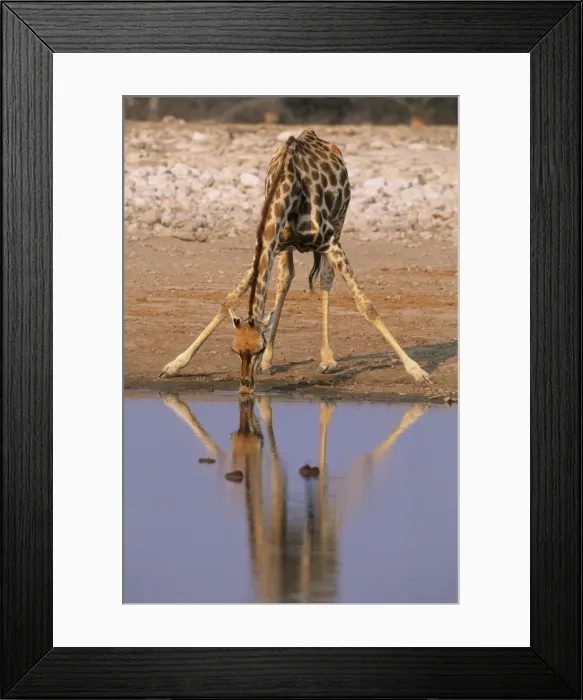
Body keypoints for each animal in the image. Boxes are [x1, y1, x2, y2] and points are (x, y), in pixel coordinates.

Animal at [159, 128, 431, 393]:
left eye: (257, 348)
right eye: (234, 349)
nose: (245, 387)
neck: (290, 188)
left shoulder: (329, 241)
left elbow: (367, 306)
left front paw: (417, 371)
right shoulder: (273, 242)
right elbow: (229, 300)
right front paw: (174, 364)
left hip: (340, 221)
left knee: (325, 278)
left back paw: (327, 359)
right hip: (287, 247)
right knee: (285, 278)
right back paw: (271, 362)